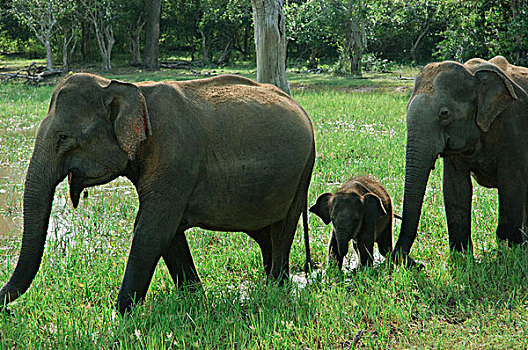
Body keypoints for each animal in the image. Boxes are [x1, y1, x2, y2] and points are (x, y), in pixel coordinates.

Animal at [0, 72, 316, 314]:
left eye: (63, 138)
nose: (6, 310)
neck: (128, 89)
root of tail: (301, 108)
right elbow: (169, 234)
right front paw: (194, 300)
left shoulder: (175, 159)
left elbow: (152, 230)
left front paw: (120, 316)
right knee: (265, 234)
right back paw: (272, 284)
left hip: (303, 172)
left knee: (283, 230)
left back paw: (276, 288)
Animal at [394, 56, 528, 264]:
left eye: (444, 113)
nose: (417, 263)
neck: (472, 74)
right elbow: (455, 187)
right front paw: (461, 255)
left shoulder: (514, 127)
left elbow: (511, 183)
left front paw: (509, 249)